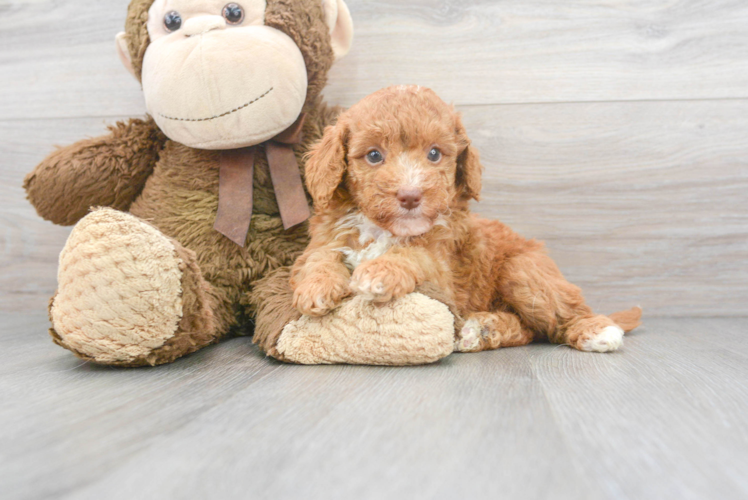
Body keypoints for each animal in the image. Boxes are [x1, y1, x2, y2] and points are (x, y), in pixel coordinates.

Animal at [290, 85, 640, 352]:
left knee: (562, 312)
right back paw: (484, 329)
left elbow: (414, 254)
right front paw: (316, 287)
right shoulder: (326, 238)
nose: (410, 196)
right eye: (374, 155)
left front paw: (380, 271)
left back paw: (597, 330)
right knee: (528, 330)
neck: (383, 229)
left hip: (523, 270)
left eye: (434, 154)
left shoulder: (444, 270)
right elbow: (318, 259)